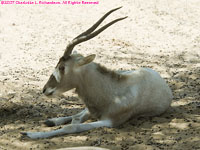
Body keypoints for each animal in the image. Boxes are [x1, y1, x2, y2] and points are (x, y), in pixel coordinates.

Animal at [21, 6, 173, 139]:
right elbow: (76, 118)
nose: (45, 89)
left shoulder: (110, 121)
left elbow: (73, 126)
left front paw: (31, 134)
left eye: (62, 67)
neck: (114, 90)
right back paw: (51, 121)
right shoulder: (91, 111)